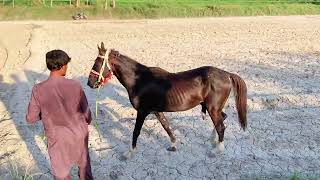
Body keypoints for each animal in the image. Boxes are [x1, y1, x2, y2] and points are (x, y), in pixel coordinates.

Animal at [87, 43, 248, 160]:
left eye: (97, 63)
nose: (90, 83)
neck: (140, 80)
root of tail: (227, 74)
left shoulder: (142, 111)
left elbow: (136, 131)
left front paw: (129, 153)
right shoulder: (156, 111)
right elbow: (167, 127)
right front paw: (174, 144)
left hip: (212, 108)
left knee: (221, 126)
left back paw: (217, 149)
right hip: (213, 107)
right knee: (223, 118)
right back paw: (212, 140)